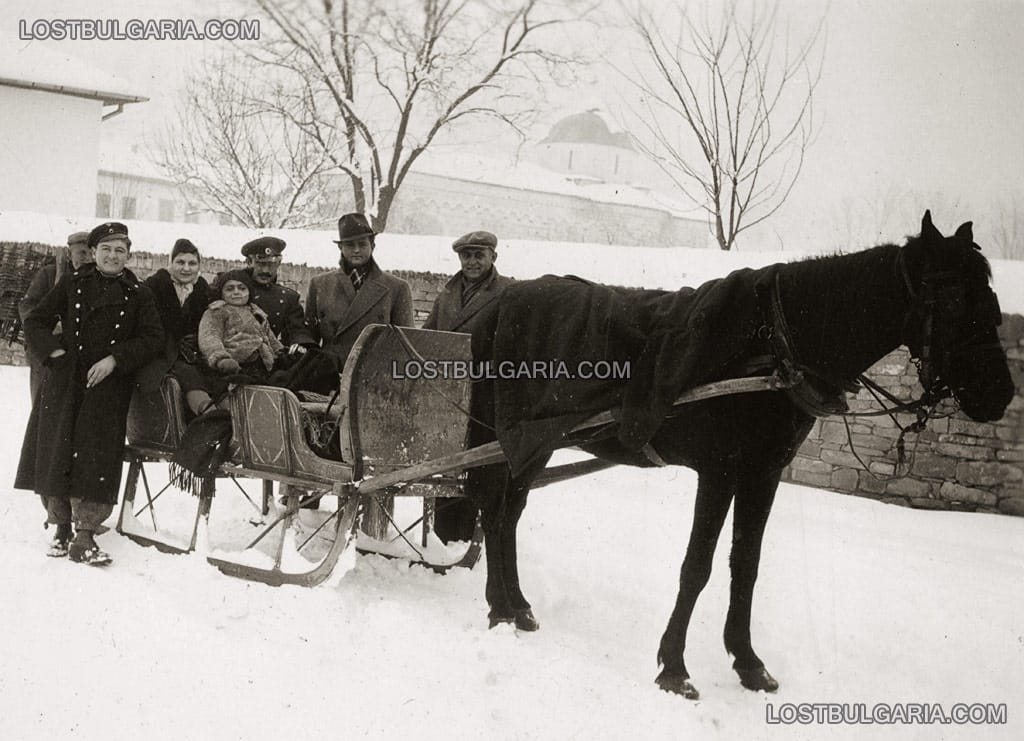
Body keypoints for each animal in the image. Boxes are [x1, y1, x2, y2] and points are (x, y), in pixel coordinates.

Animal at [466, 210, 1015, 695]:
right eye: (953, 299)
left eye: (989, 298)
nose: (1001, 393)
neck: (775, 344)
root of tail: (502, 302)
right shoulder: (720, 472)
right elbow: (697, 567)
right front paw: (674, 667)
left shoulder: (762, 472)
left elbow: (745, 566)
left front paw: (749, 663)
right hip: (514, 435)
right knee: (495, 513)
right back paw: (498, 607)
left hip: (531, 443)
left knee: (508, 515)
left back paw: (517, 604)